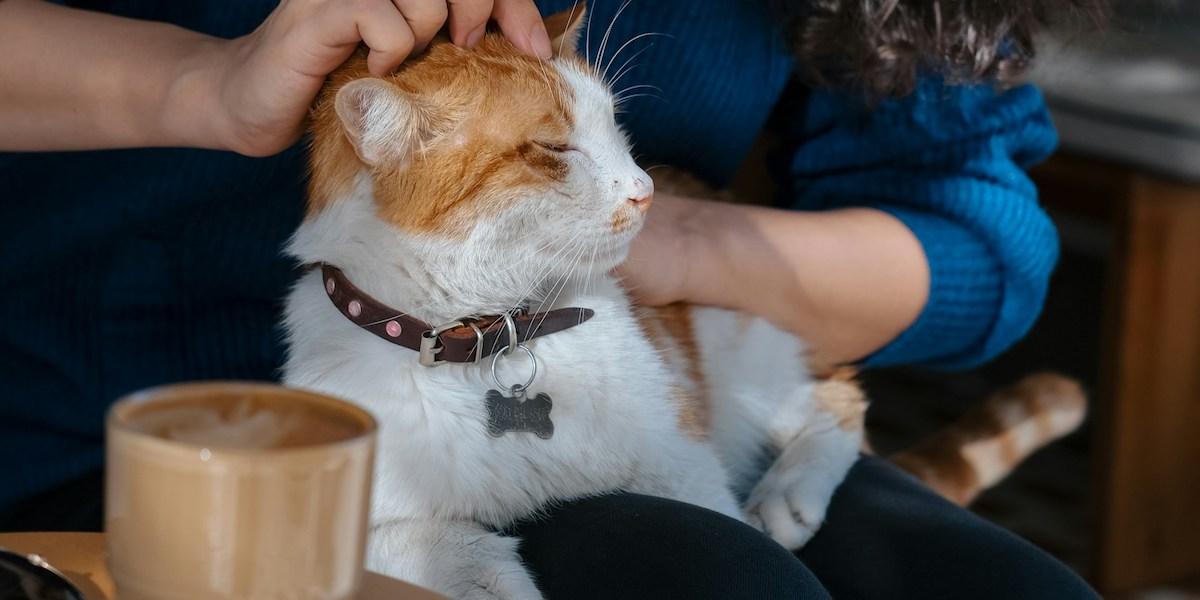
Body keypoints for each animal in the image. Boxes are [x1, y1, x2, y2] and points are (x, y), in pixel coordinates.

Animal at [283, 7, 1089, 597]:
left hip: (740, 353)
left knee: (838, 400)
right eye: (554, 150)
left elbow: (722, 508)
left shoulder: (683, 467)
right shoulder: (358, 508)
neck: (493, 341)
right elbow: (441, 551)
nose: (646, 189)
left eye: (614, 127)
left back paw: (787, 494)